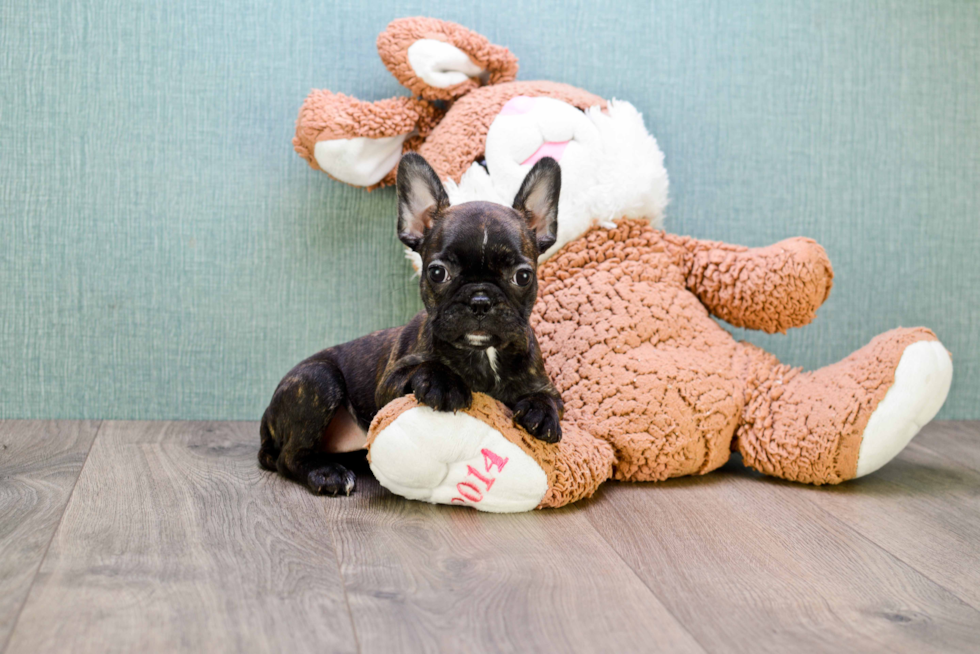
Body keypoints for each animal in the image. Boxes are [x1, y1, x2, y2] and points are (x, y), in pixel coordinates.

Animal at [258, 151, 568, 494]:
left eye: (523, 276)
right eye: (437, 272)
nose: (480, 300)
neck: (484, 355)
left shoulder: (547, 386)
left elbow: (549, 399)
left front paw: (541, 412)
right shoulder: (388, 386)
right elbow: (423, 367)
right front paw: (443, 383)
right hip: (317, 381)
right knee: (290, 456)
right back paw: (327, 473)